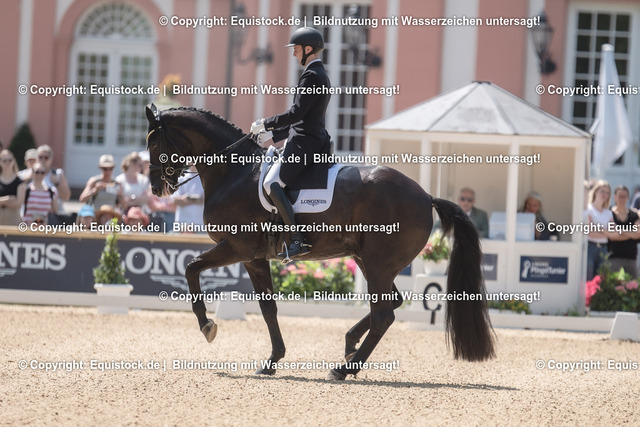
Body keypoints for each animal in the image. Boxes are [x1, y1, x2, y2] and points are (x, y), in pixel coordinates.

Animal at [144, 104, 495, 380]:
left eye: (152, 141)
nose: (156, 189)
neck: (234, 172)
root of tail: (425, 196)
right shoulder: (254, 257)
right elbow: (268, 307)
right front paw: (272, 361)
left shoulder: (236, 248)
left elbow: (191, 268)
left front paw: (207, 326)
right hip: (370, 262)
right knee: (391, 303)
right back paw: (350, 345)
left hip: (378, 264)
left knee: (385, 314)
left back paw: (345, 369)